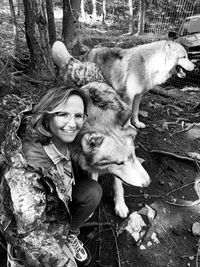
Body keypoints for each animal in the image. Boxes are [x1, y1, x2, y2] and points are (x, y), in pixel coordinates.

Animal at [51, 41, 150, 218]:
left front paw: (120, 205)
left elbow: (118, 184)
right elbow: (94, 179)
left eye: (133, 155)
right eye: (119, 162)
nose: (148, 182)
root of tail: (80, 64)